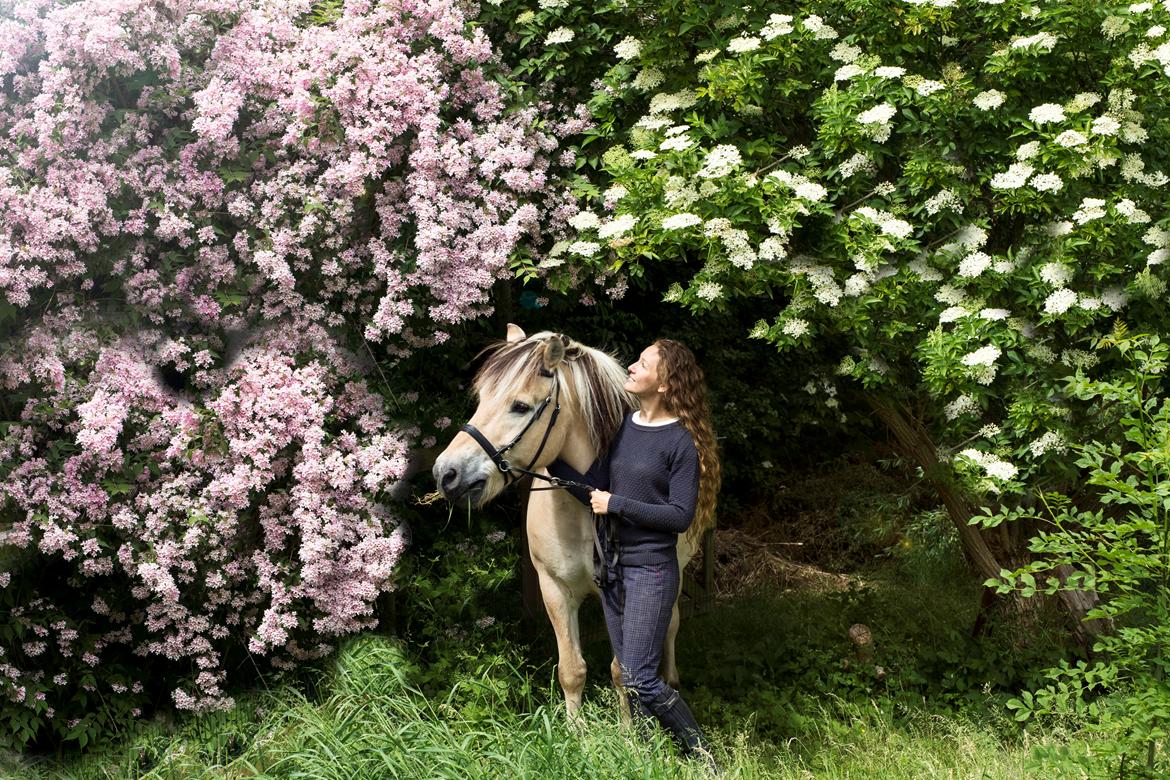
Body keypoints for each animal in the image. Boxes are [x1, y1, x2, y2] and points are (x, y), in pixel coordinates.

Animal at [430, 327, 706, 715]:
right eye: (482, 399)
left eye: (520, 406)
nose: (447, 474)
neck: (582, 507)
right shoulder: (554, 589)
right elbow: (572, 671)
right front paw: (575, 729)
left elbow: (623, 671)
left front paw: (628, 728)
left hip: (677, 570)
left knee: (670, 625)